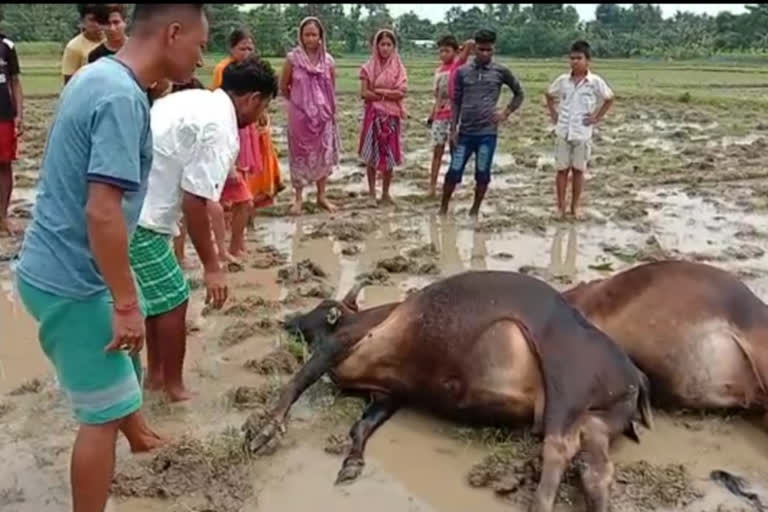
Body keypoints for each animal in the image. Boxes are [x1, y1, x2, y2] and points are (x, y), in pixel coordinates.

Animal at [243, 270, 652, 510]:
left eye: (319, 308)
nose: (287, 320)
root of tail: (634, 374)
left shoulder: (338, 347)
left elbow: (296, 383)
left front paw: (265, 431)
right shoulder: (389, 394)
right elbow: (361, 426)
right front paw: (352, 462)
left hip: (566, 394)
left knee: (559, 449)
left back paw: (539, 504)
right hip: (597, 420)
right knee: (595, 468)